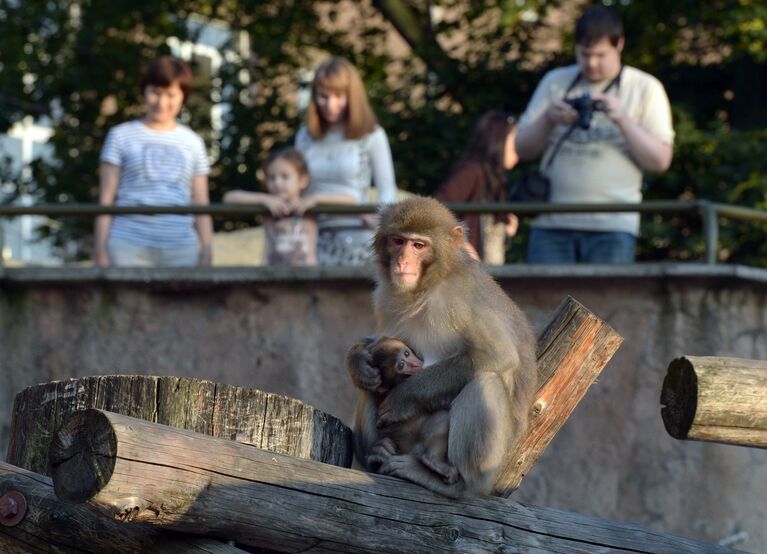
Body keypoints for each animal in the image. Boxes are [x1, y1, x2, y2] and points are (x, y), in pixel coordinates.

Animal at [350, 195, 540, 496]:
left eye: (419, 245)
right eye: (398, 241)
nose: (402, 261)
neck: (426, 287)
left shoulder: (460, 299)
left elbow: (497, 355)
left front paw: (404, 397)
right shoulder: (384, 296)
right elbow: (379, 344)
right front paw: (357, 361)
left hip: (491, 467)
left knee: (485, 382)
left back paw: (454, 482)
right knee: (371, 387)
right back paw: (376, 455)